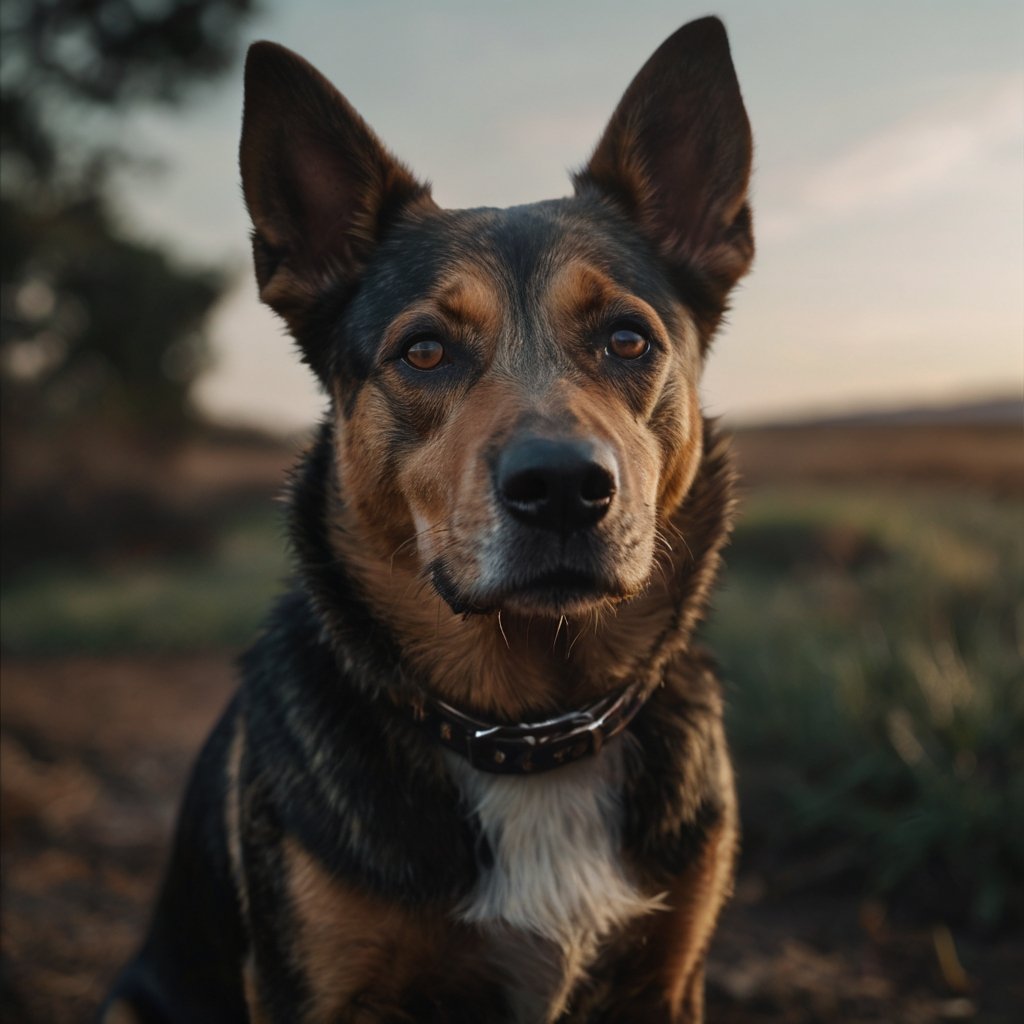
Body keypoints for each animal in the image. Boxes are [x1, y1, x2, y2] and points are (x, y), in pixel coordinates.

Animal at [101, 16, 753, 1024]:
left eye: (628, 339)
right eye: (425, 351)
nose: (563, 487)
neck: (528, 735)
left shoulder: (666, 981)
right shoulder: (315, 991)